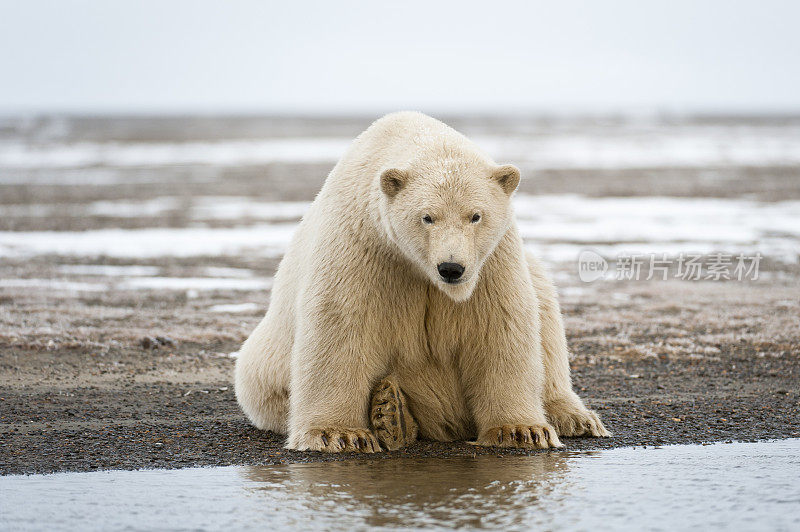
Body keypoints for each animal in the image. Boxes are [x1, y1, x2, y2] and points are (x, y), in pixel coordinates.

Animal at [234, 112, 608, 454]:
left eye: (476, 215)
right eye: (427, 217)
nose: (451, 268)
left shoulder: (492, 261)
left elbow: (499, 325)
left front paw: (520, 430)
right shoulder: (364, 246)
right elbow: (341, 325)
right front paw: (339, 434)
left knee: (546, 313)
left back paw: (574, 417)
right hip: (265, 360)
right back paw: (392, 414)